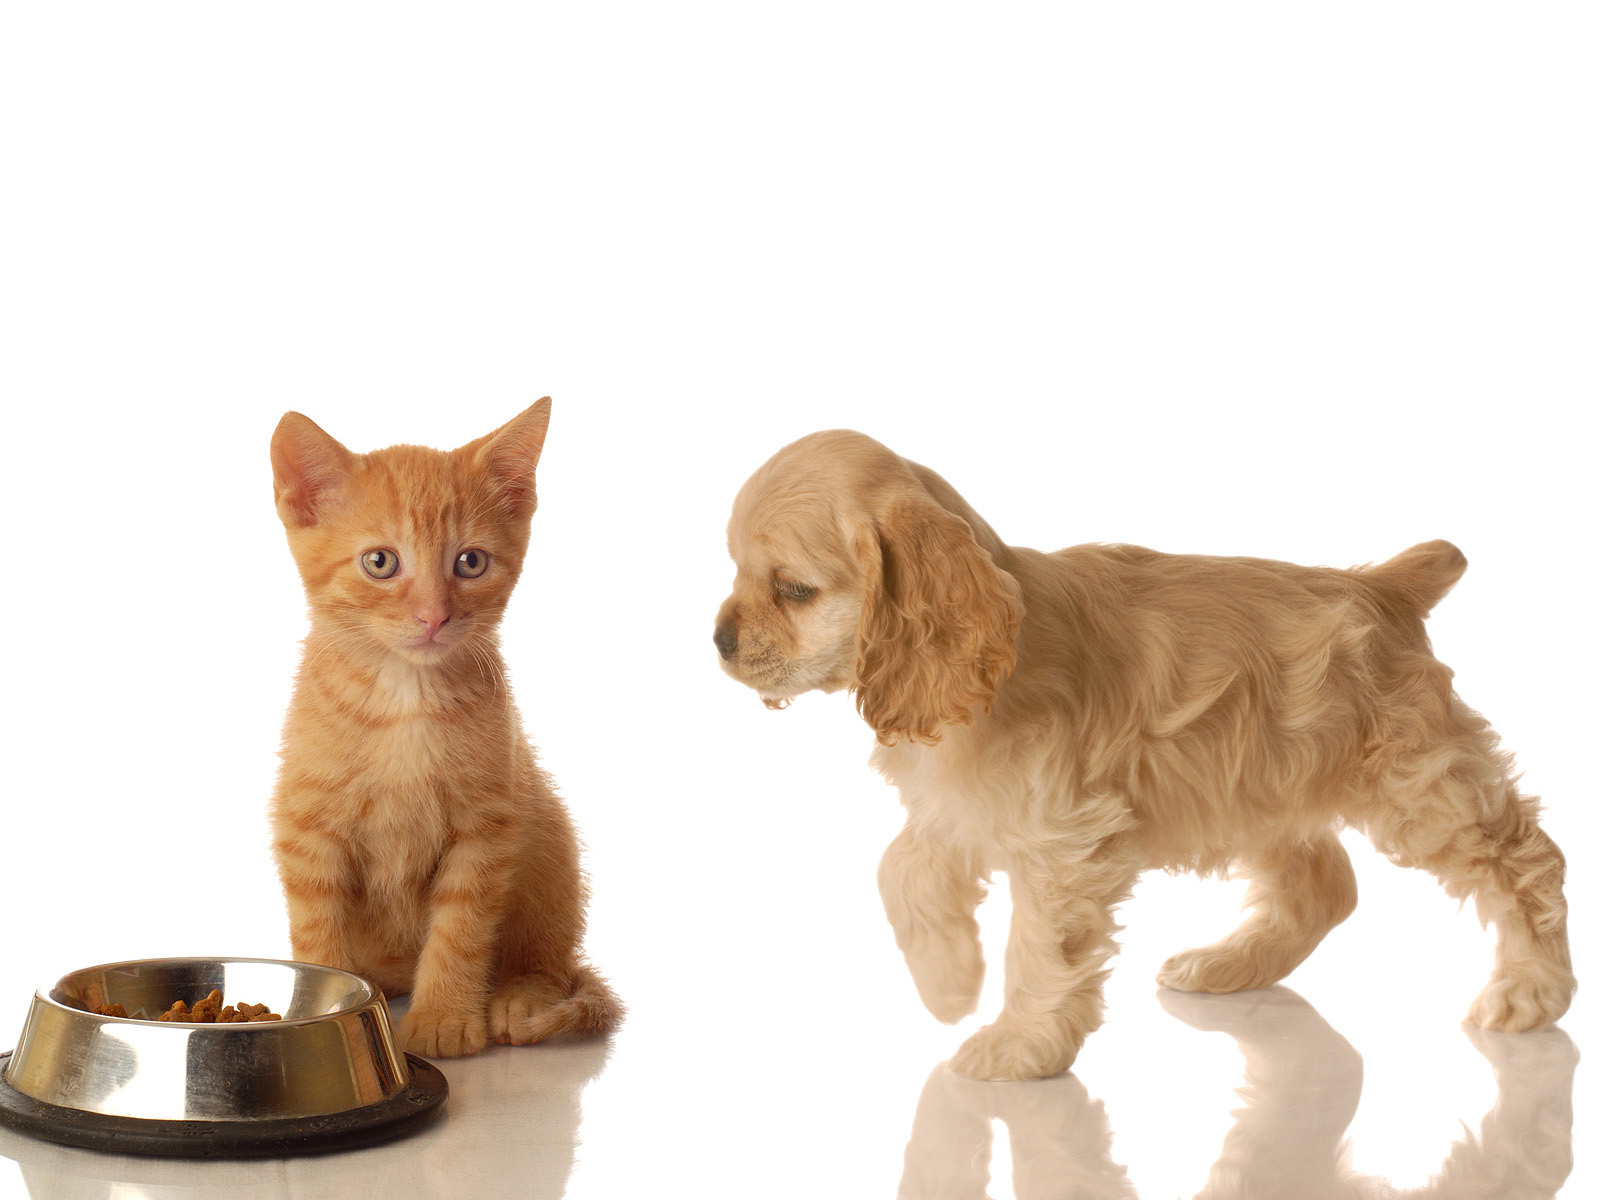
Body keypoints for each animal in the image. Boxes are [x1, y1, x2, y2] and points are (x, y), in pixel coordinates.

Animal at [268, 400, 617, 1056]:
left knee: (551, 961)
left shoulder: (487, 828)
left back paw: (517, 996)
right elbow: (316, 932)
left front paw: (443, 1019)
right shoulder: (307, 825)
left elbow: (460, 930)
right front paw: (319, 1010)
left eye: (470, 562)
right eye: (380, 562)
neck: (405, 698)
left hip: (546, 834)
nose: (433, 616)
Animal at [713, 428, 1574, 1081]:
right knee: (1325, 884)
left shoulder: (1064, 844)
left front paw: (1016, 1045)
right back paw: (1226, 967)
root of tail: (1383, 586)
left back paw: (1532, 993)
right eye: (736, 570)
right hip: (1260, 783)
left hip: (1416, 783)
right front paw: (949, 981)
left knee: (1526, 861)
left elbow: (1039, 947)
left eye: (792, 588)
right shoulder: (956, 809)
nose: (717, 640)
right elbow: (899, 870)